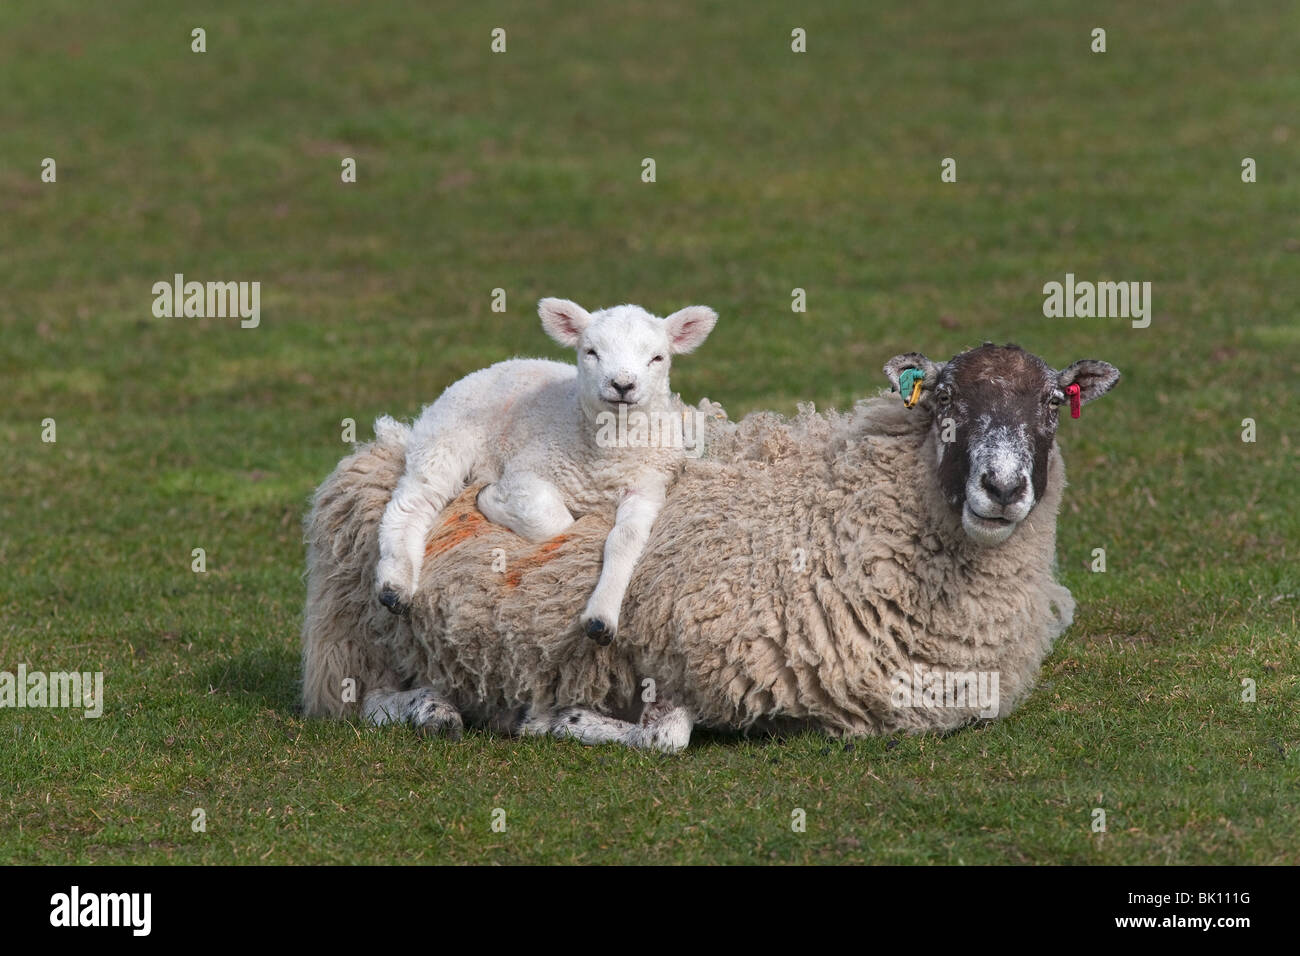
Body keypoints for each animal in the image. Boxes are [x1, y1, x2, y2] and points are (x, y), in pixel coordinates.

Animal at [304, 343, 1118, 754]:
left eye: (1053, 401)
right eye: (945, 397)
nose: (1003, 487)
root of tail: (381, 444)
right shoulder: (685, 656)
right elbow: (668, 734)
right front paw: (556, 721)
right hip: (357, 646)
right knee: (361, 700)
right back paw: (430, 706)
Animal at [374, 295, 722, 647]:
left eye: (657, 357)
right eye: (591, 352)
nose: (622, 385)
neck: (605, 457)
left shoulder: (648, 487)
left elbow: (625, 539)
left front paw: (601, 617)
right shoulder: (526, 471)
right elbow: (554, 522)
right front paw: (490, 499)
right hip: (445, 440)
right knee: (411, 505)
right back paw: (395, 586)